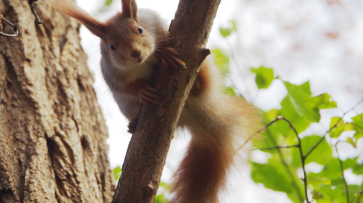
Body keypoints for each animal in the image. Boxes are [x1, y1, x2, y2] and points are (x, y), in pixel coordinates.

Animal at [52, 0, 260, 202]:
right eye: (112, 46)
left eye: (139, 29)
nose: (135, 52)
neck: (141, 63)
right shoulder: (112, 75)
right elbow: (126, 87)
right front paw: (142, 89)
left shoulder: (157, 24)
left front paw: (163, 54)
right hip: (125, 105)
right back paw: (134, 123)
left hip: (205, 67)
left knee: (203, 83)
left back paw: (197, 83)